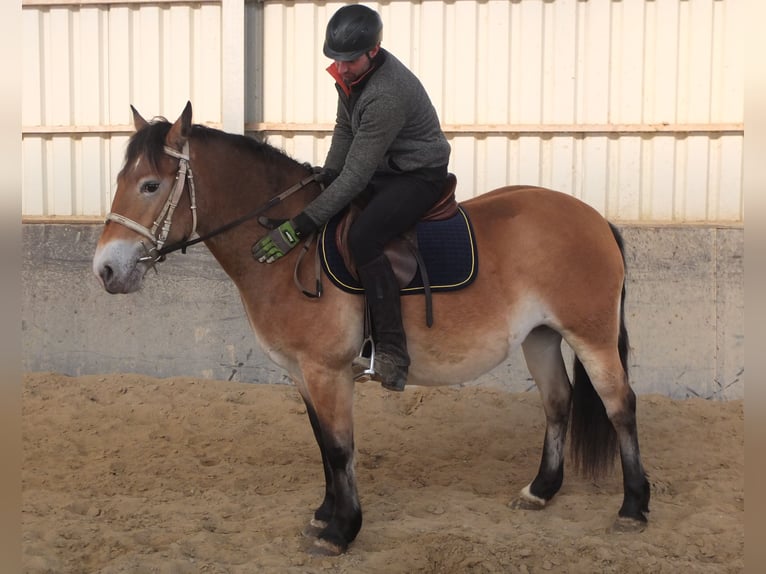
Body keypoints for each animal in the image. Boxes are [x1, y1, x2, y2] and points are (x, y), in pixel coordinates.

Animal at [93, 103, 652, 560]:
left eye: (150, 185)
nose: (106, 270)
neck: (289, 246)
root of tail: (596, 218)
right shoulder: (303, 374)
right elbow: (324, 444)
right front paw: (325, 514)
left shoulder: (326, 370)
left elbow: (341, 448)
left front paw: (341, 532)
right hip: (540, 336)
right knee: (557, 403)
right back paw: (541, 491)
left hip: (591, 335)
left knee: (620, 405)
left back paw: (633, 507)